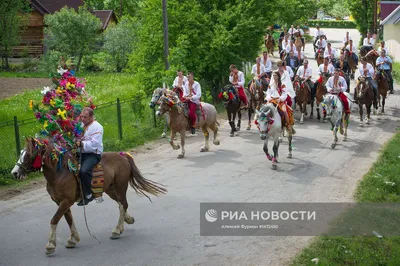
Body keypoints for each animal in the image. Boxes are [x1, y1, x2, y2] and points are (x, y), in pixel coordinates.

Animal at [10, 138, 166, 255]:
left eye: (28, 155)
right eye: (21, 153)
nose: (15, 173)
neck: (59, 173)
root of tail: (122, 156)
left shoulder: (65, 202)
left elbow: (54, 220)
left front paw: (50, 245)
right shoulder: (61, 203)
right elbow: (68, 220)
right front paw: (73, 240)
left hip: (121, 186)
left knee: (123, 204)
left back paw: (116, 230)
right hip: (110, 189)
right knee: (121, 204)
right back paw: (127, 221)